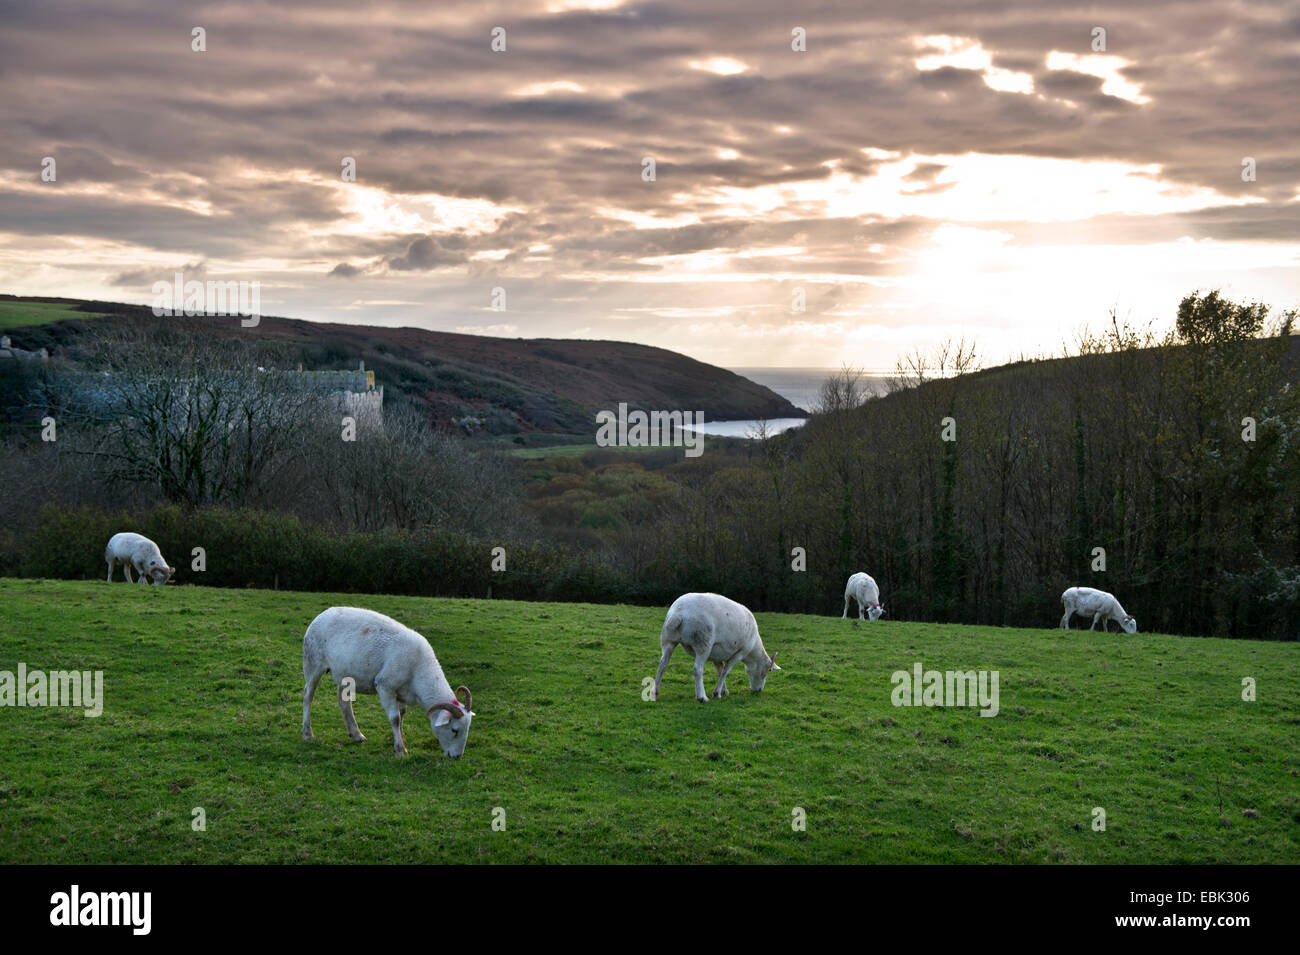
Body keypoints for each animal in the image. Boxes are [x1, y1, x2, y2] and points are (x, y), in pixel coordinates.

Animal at [299, 608, 473, 758]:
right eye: (454, 730)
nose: (457, 757)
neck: (420, 670)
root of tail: (322, 614)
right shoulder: (385, 686)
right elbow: (395, 718)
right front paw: (400, 750)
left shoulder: (402, 692)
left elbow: (402, 715)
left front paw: (401, 740)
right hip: (313, 662)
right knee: (308, 695)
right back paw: (307, 733)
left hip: (344, 673)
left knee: (343, 702)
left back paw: (356, 734)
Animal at [650, 595, 780, 706]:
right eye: (769, 670)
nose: (758, 690)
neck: (752, 653)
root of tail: (679, 613)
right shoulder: (740, 652)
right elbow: (726, 671)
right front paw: (716, 693)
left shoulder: (716, 654)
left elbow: (720, 671)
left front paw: (724, 691)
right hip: (703, 641)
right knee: (697, 669)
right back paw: (702, 697)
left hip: (668, 638)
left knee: (662, 664)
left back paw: (655, 693)